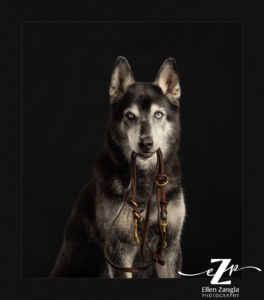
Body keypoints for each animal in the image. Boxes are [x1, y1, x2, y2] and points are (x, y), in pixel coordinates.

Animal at [49, 56, 186, 278]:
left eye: (158, 114)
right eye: (130, 116)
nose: (145, 143)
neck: (144, 180)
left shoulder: (169, 246)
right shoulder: (117, 250)